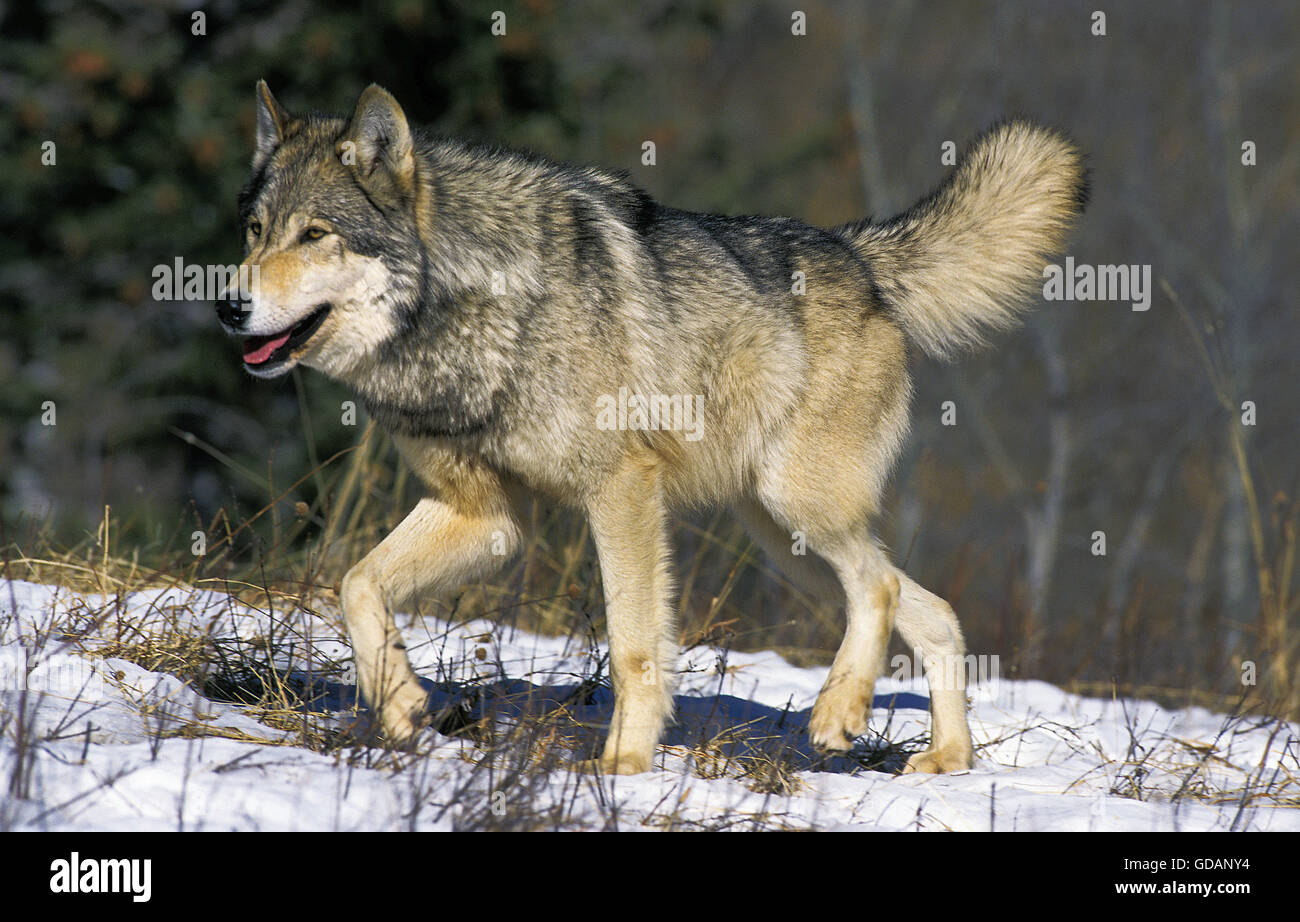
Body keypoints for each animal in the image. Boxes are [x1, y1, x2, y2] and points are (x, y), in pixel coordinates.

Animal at [220, 82, 1086, 775]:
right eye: (255, 229)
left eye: (315, 234)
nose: (228, 305)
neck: (472, 312)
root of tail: (857, 253)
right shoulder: (490, 518)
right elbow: (356, 584)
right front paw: (399, 704)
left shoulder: (622, 491)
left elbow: (636, 646)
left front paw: (624, 765)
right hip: (788, 544)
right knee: (930, 611)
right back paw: (945, 760)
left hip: (797, 510)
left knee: (879, 587)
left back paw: (839, 715)